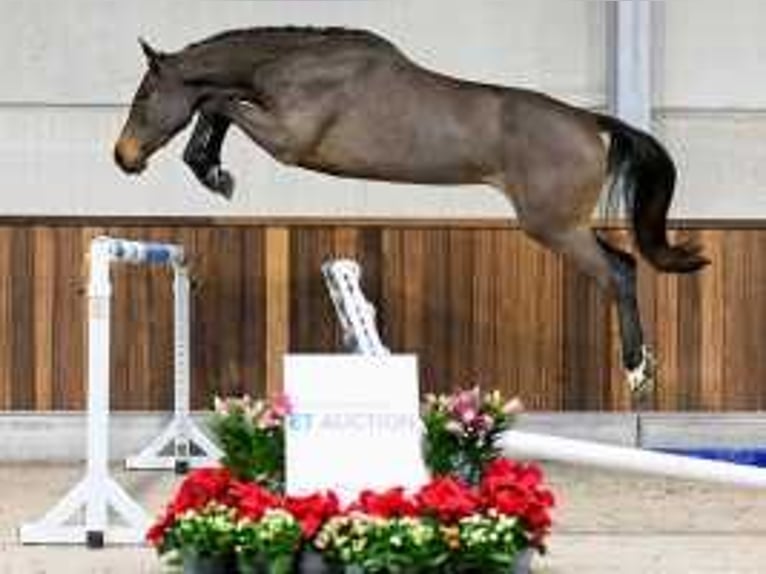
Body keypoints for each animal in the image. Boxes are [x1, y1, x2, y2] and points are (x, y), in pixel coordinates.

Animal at [115, 27, 712, 396]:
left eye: (143, 99)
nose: (123, 158)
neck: (296, 67)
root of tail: (591, 123)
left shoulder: (288, 140)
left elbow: (216, 100)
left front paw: (212, 171)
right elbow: (215, 103)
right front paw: (212, 168)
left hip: (554, 227)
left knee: (619, 273)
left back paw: (638, 374)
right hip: (564, 226)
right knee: (626, 262)